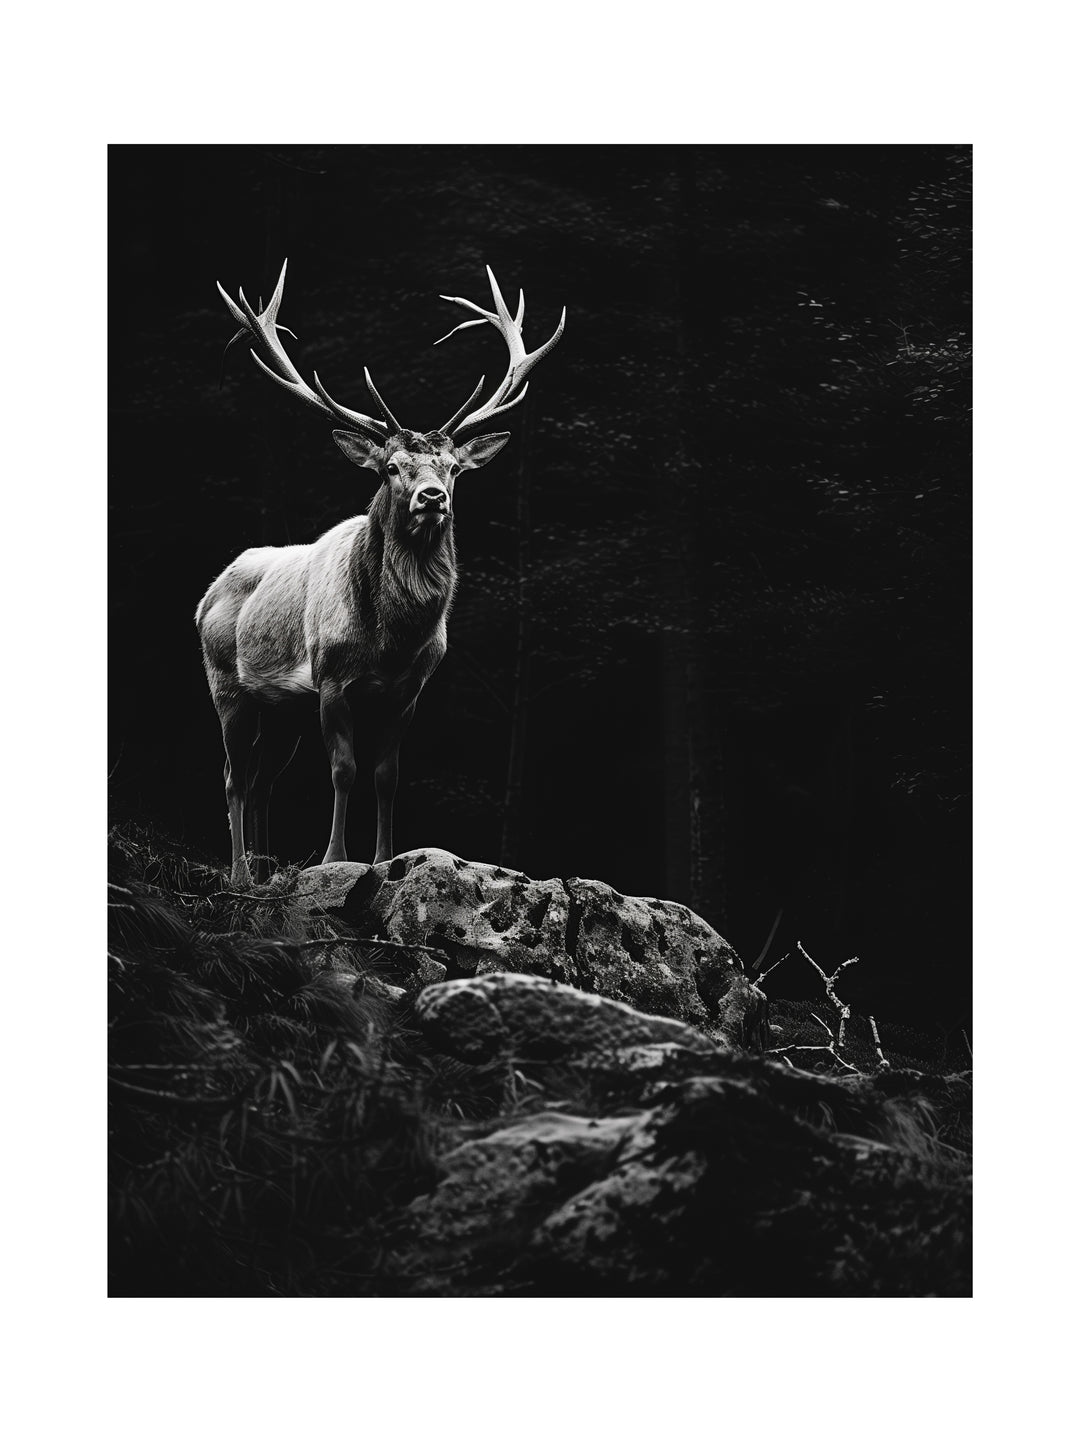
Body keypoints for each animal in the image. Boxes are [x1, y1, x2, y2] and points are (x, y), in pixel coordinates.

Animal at [196, 260, 565, 887]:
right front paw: (333, 860)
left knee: (263, 781)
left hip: (283, 710)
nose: (432, 497)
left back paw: (267, 874)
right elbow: (344, 769)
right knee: (233, 778)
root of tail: (206, 594)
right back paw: (242, 875)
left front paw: (385, 859)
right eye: (391, 466)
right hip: (227, 684)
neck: (390, 640)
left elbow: (387, 776)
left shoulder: (408, 691)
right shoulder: (329, 678)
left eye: (452, 467)